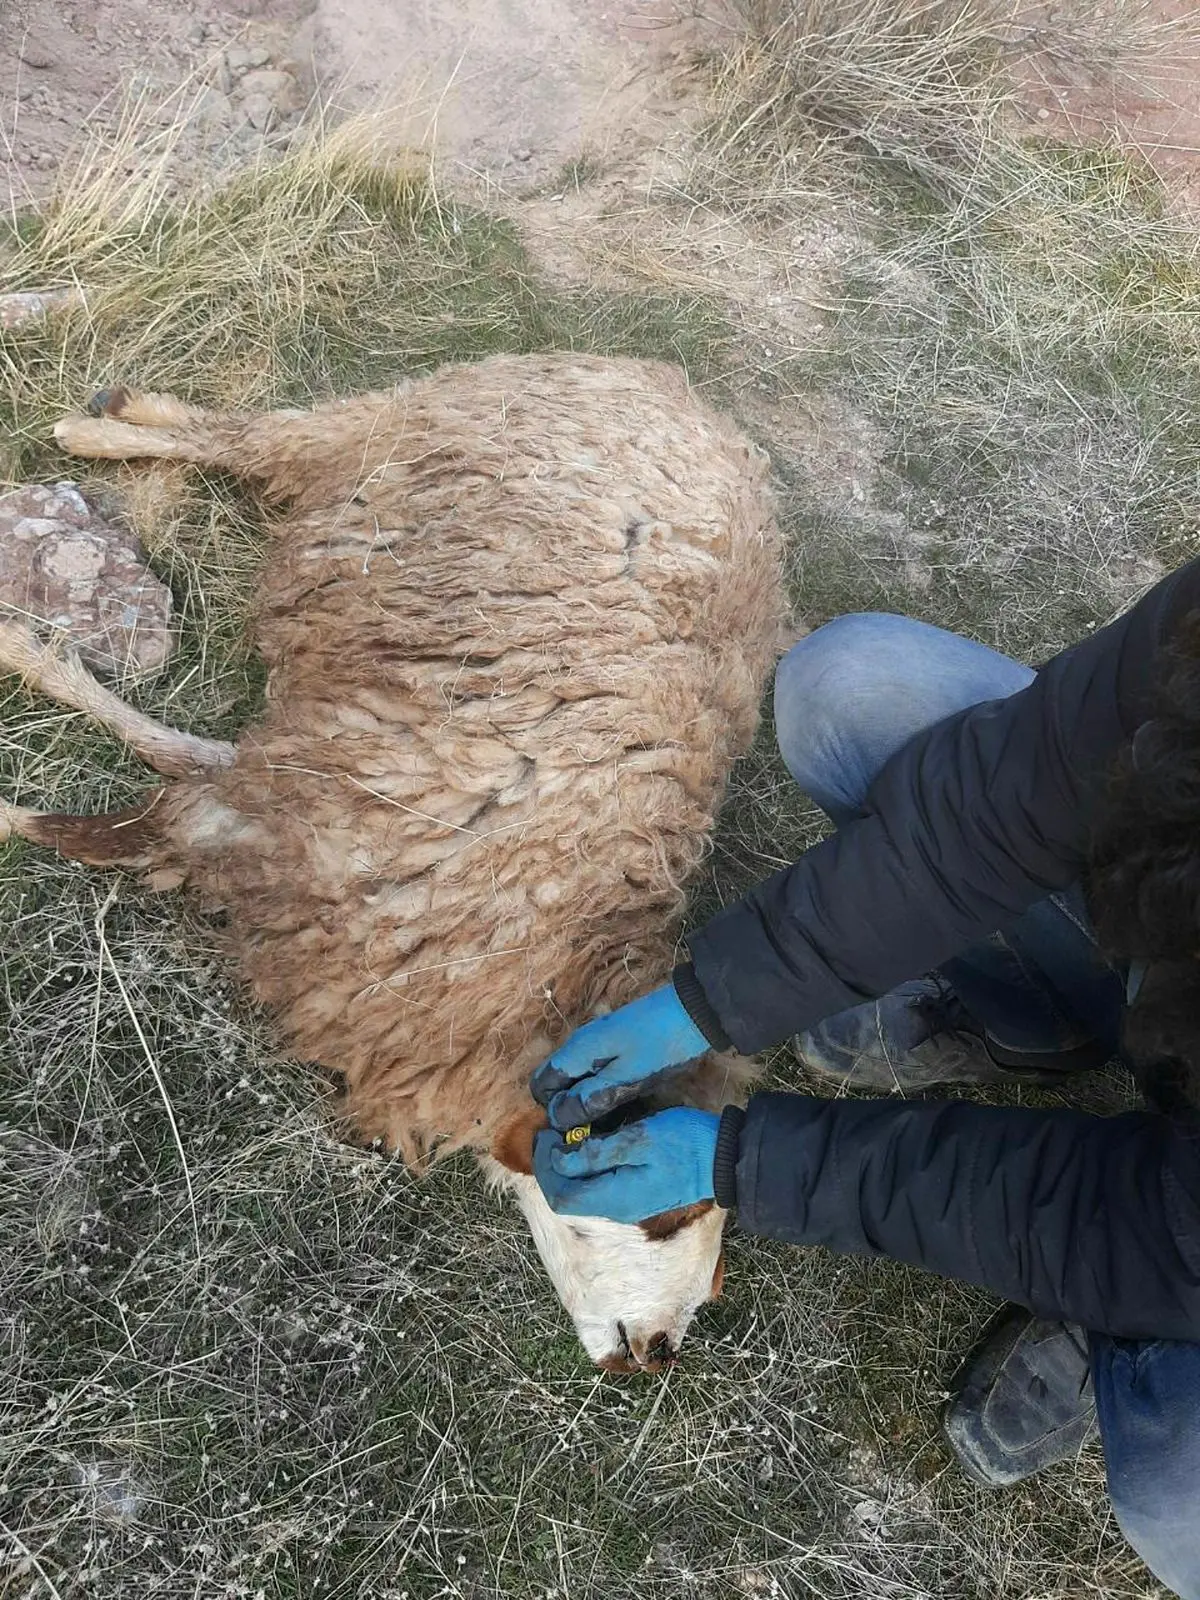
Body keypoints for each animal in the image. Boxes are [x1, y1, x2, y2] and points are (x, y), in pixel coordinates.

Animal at [2, 353, 790, 1376]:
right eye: (662, 1214)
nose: (656, 1353)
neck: (551, 939)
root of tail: (670, 385)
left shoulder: (316, 808)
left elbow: (166, 772)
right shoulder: (304, 820)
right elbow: (127, 806)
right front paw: (24, 687)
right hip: (389, 426)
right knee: (251, 438)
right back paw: (103, 427)